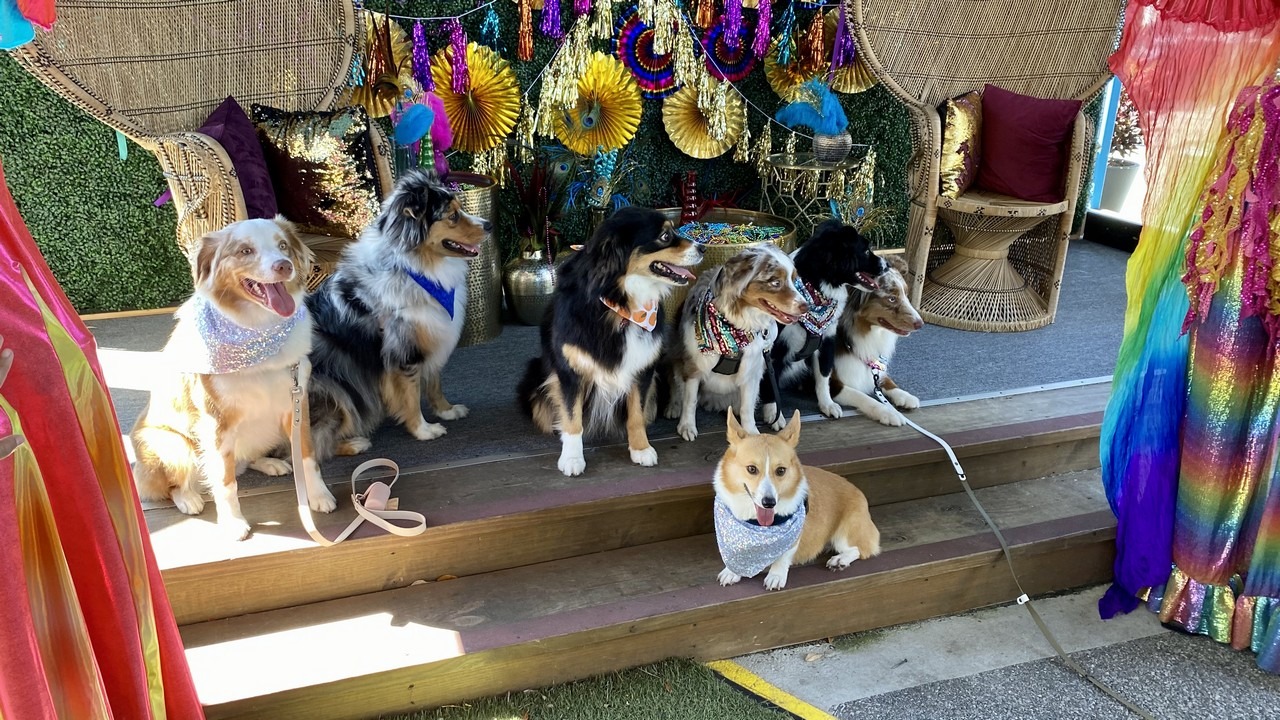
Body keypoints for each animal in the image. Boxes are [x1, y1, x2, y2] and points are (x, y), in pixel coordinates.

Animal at [130, 213, 335, 538]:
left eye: (283, 245)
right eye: (245, 251)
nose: (284, 266)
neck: (258, 332)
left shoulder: (296, 404)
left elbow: (308, 456)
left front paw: (317, 496)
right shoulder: (216, 424)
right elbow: (226, 484)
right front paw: (233, 522)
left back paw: (269, 463)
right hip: (172, 445)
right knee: (174, 484)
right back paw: (188, 498)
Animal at [304, 169, 488, 458]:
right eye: (453, 216)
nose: (489, 225)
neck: (413, 267)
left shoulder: (431, 336)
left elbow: (434, 383)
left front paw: (446, 411)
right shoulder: (404, 351)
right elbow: (411, 397)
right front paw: (424, 430)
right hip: (333, 389)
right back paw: (353, 443)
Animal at [665, 243, 803, 440]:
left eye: (794, 279)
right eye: (775, 282)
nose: (806, 306)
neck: (736, 328)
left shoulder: (752, 369)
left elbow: (747, 407)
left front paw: (751, 433)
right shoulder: (694, 366)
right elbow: (690, 400)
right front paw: (687, 426)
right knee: (675, 382)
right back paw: (674, 407)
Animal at [711, 409, 880, 589]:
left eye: (781, 470)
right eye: (751, 469)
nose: (769, 503)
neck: (756, 523)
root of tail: (860, 494)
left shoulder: (793, 537)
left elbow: (783, 555)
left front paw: (776, 576)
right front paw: (732, 572)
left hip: (844, 534)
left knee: (860, 549)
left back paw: (840, 560)